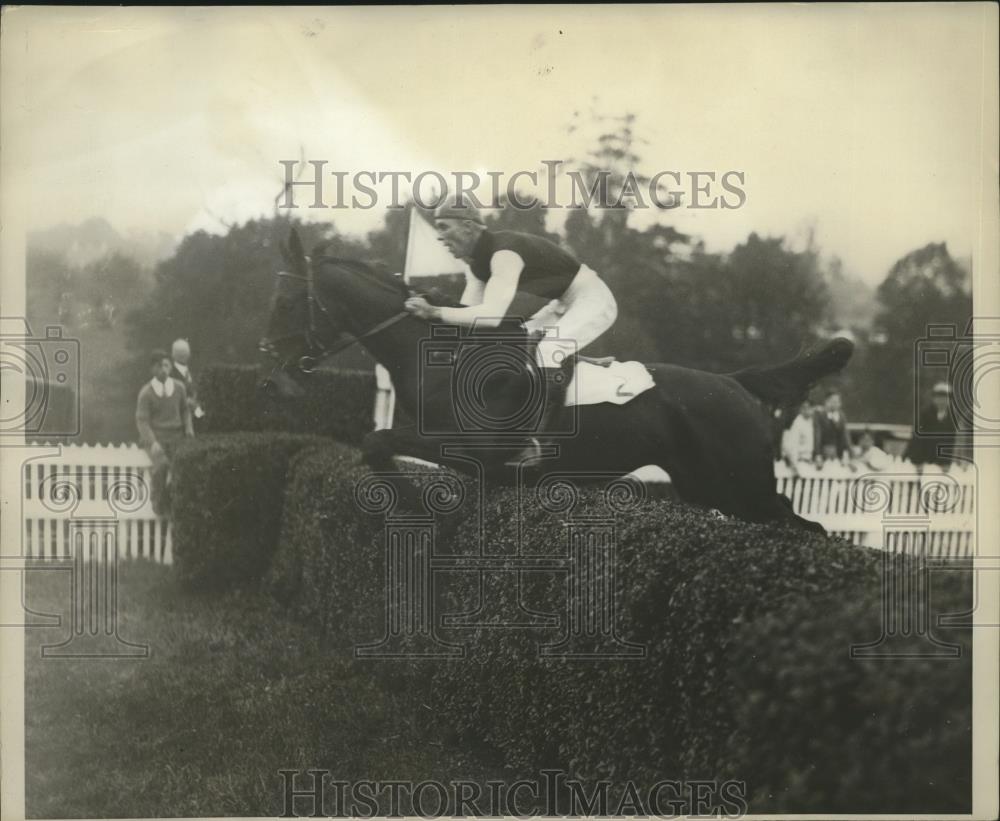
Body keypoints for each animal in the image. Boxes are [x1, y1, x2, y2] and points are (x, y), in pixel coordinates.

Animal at [262, 227, 856, 528]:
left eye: (287, 302)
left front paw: (410, 500)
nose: (269, 376)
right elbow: (376, 441)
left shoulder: (474, 452)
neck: (441, 361)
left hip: (742, 481)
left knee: (805, 526)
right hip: (708, 485)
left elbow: (376, 440)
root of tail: (736, 383)